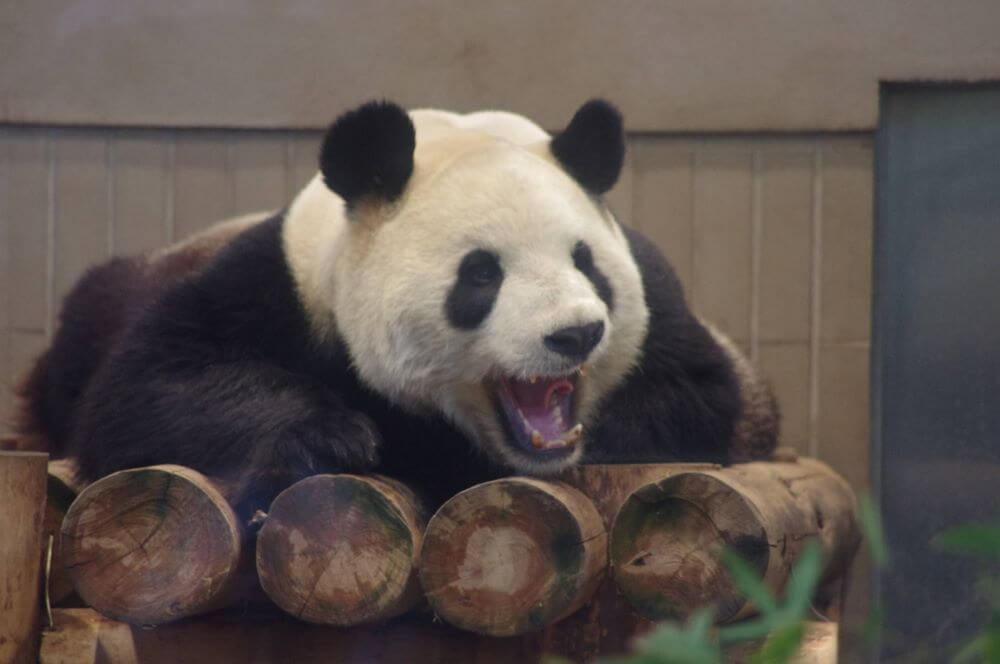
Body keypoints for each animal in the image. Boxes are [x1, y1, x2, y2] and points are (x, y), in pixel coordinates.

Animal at [17, 100, 780, 520]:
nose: (576, 333)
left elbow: (697, 395)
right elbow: (150, 386)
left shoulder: (664, 306)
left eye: (586, 261)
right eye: (481, 274)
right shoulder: (277, 282)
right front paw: (337, 435)